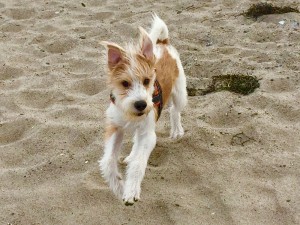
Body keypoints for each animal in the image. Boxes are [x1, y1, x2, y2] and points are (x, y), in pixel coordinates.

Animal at [99, 13, 186, 204]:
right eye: (125, 83)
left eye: (147, 81)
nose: (141, 104)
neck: (130, 114)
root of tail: (163, 43)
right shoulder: (115, 128)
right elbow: (108, 162)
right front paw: (119, 187)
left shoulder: (148, 134)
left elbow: (139, 163)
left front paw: (131, 190)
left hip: (180, 93)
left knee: (174, 111)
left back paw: (177, 131)